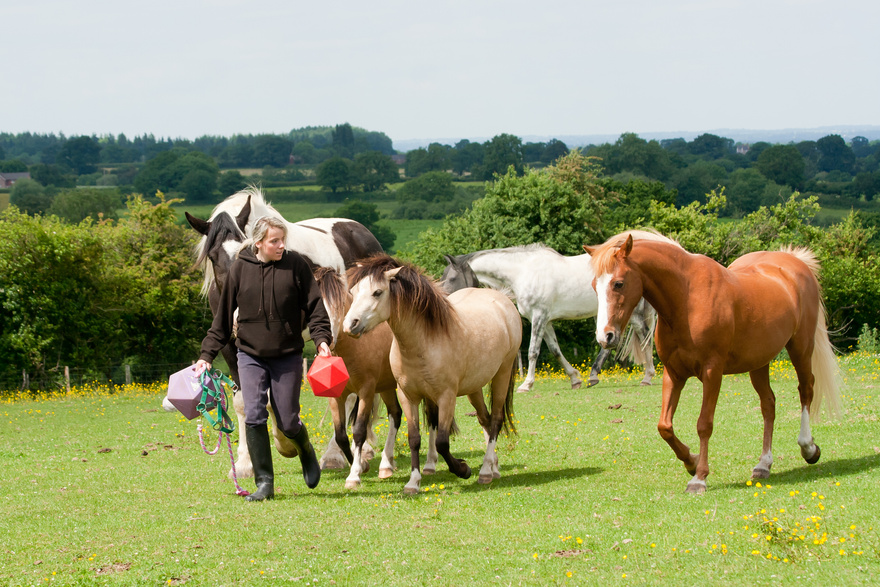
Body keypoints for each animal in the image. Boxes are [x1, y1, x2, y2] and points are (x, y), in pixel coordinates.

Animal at [313, 267, 402, 489]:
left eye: (339, 307)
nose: (329, 339)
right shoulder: (336, 397)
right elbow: (341, 436)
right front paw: (361, 465)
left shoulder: (366, 391)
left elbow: (359, 431)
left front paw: (354, 475)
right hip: (387, 387)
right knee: (396, 414)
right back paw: (386, 465)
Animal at [342, 255, 522, 495]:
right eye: (353, 291)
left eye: (377, 292)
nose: (349, 325)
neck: (425, 341)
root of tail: (503, 299)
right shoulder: (408, 397)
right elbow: (414, 438)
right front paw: (413, 482)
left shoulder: (446, 397)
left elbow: (443, 442)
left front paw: (463, 469)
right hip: (474, 387)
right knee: (484, 418)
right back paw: (493, 468)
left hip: (502, 375)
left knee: (496, 420)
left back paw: (484, 471)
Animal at [440, 242, 659, 392]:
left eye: (451, 278)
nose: (445, 300)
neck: (522, 272)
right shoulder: (545, 321)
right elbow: (555, 350)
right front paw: (575, 379)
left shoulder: (539, 317)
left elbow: (532, 352)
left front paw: (526, 384)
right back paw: (594, 376)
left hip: (631, 314)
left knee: (644, 337)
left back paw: (647, 377)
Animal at [586, 232, 842, 494]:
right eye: (595, 286)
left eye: (618, 283)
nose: (605, 337)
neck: (686, 299)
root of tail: (795, 262)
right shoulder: (674, 373)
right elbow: (664, 426)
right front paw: (691, 461)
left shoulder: (712, 372)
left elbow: (704, 424)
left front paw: (699, 478)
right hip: (758, 362)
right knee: (768, 404)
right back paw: (763, 464)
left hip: (801, 348)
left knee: (806, 390)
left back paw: (808, 448)